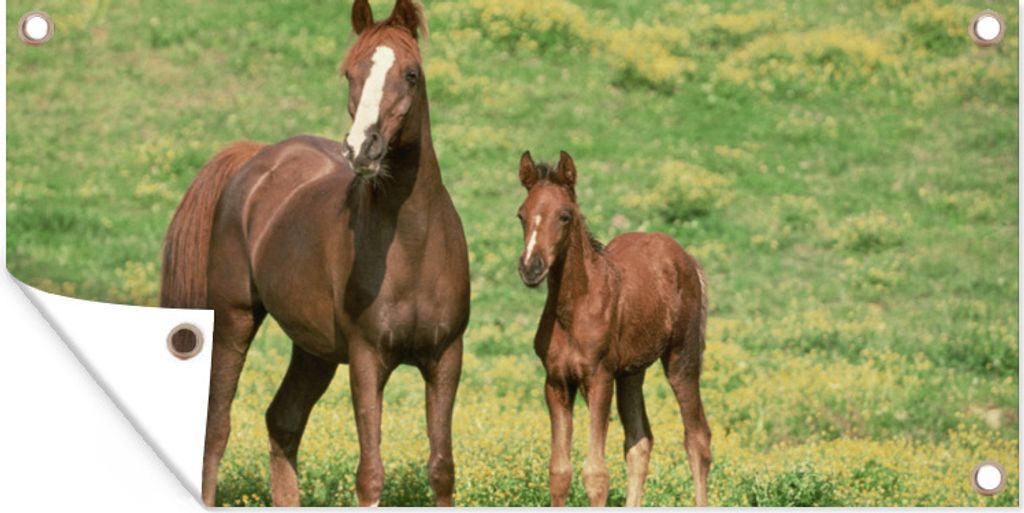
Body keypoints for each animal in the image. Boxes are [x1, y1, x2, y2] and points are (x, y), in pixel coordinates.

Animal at [160, 0, 470, 506]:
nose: (363, 149)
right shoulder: (367, 359)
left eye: (411, 74)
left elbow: (442, 469)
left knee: (282, 420)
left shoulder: (445, 357)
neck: (413, 248)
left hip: (314, 350)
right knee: (217, 426)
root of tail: (257, 158)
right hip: (233, 320)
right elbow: (370, 473)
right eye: (350, 73)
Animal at [514, 151, 712, 506]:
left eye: (565, 216)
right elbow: (559, 472)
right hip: (631, 371)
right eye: (521, 215)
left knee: (698, 440)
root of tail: (687, 259)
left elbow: (595, 474)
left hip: (682, 359)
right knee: (640, 441)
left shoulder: (599, 377)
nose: (530, 268)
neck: (573, 310)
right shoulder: (556, 382)